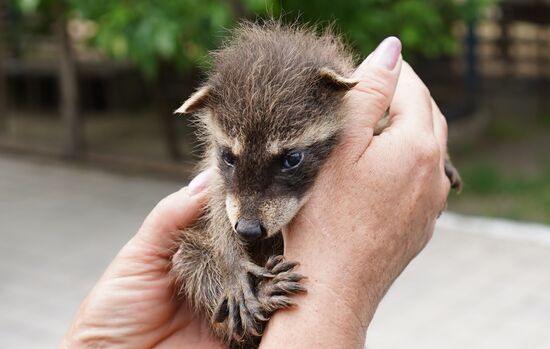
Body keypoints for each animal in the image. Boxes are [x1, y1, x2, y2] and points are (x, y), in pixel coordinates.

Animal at [171, 22, 462, 348]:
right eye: (228, 157)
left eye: (291, 159)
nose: (247, 230)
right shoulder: (217, 177)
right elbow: (217, 210)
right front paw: (232, 263)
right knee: (192, 259)